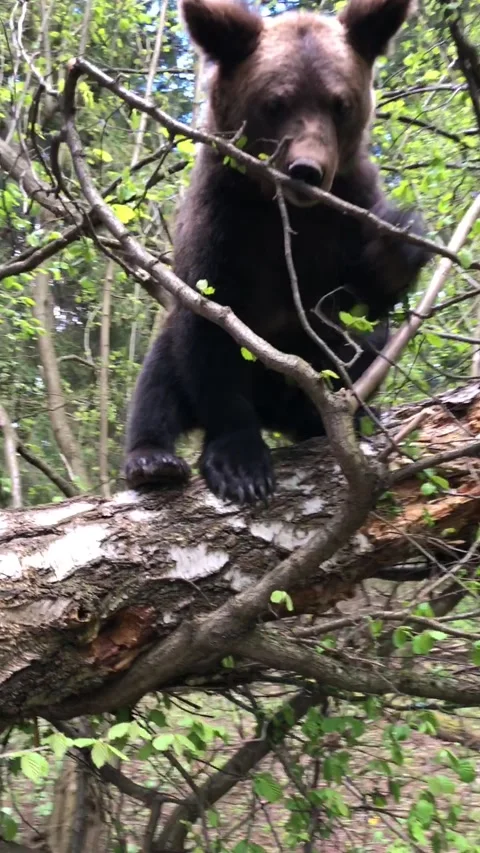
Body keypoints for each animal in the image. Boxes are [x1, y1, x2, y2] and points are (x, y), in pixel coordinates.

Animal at [124, 0, 430, 504]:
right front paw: (240, 466)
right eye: (275, 102)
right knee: (161, 372)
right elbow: (212, 333)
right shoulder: (223, 229)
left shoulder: (348, 213)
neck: (283, 213)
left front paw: (401, 237)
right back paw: (152, 460)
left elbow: (361, 311)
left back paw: (340, 419)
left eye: (340, 104)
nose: (306, 170)